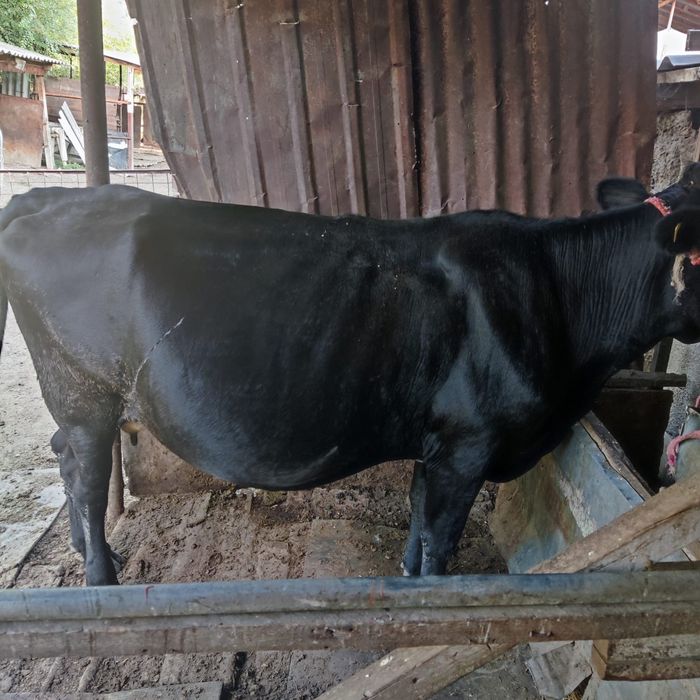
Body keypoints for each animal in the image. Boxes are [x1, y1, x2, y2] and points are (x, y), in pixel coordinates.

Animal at [2, 166, 700, 586]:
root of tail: (47, 197)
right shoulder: (468, 444)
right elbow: (440, 548)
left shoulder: (436, 445)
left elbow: (418, 533)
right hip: (83, 390)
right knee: (87, 476)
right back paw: (100, 577)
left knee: (66, 459)